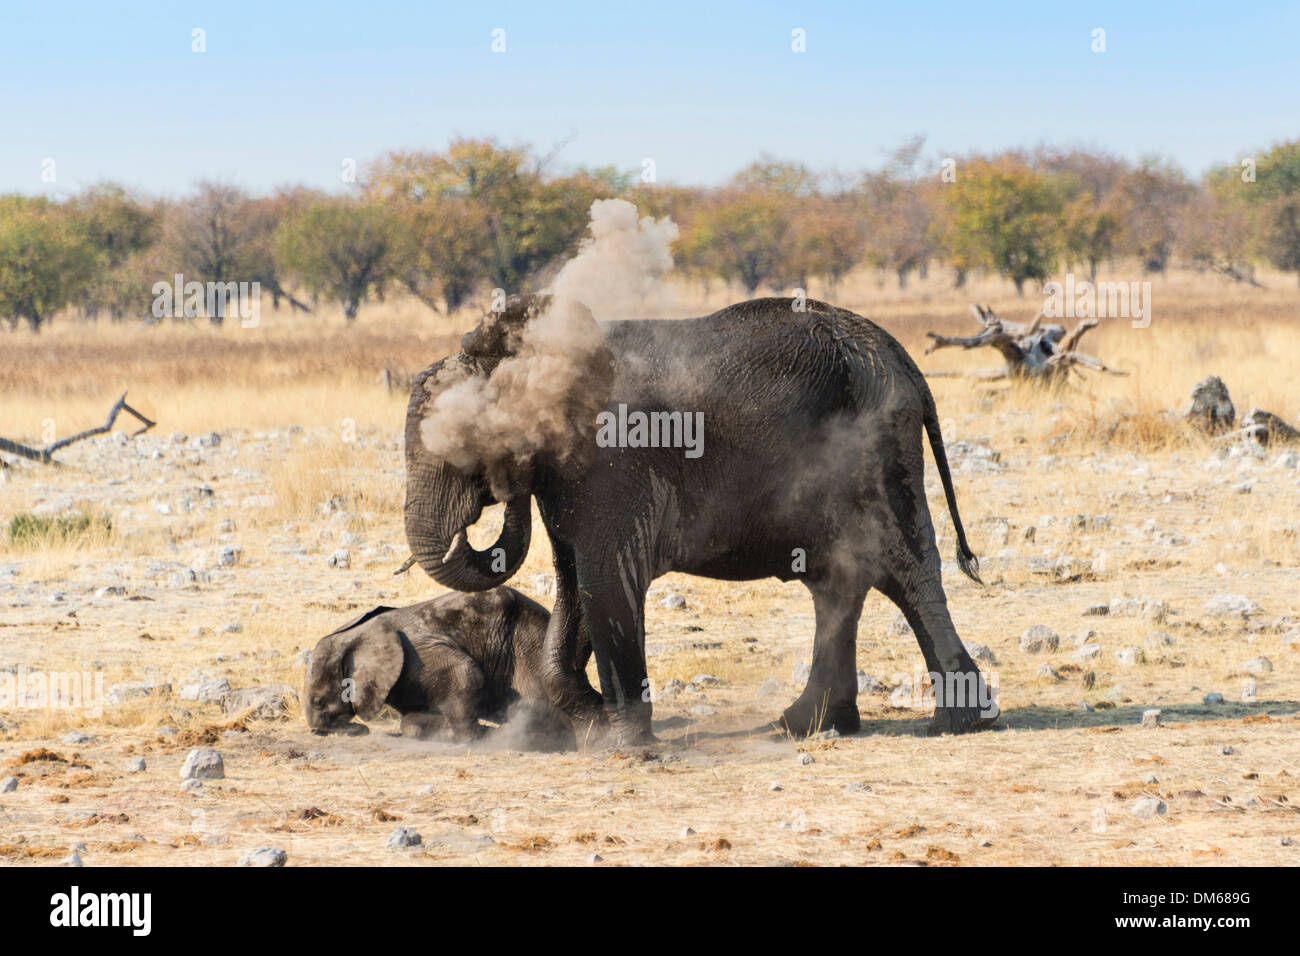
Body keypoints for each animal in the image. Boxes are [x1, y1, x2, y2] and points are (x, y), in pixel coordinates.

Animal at [299, 587, 590, 749]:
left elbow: (466, 673)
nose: (361, 731)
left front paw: (472, 737)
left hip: (528, 650)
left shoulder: (417, 653)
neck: (356, 636)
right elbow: (411, 720)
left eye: (318, 702)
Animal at [403, 295, 993, 743]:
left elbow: (605, 579)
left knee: (903, 568)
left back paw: (956, 724)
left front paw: (625, 742)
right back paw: (805, 726)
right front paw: (592, 726)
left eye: (456, 450)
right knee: (841, 580)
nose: (499, 491)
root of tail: (902, 359)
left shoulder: (612, 462)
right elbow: (574, 583)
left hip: (877, 446)